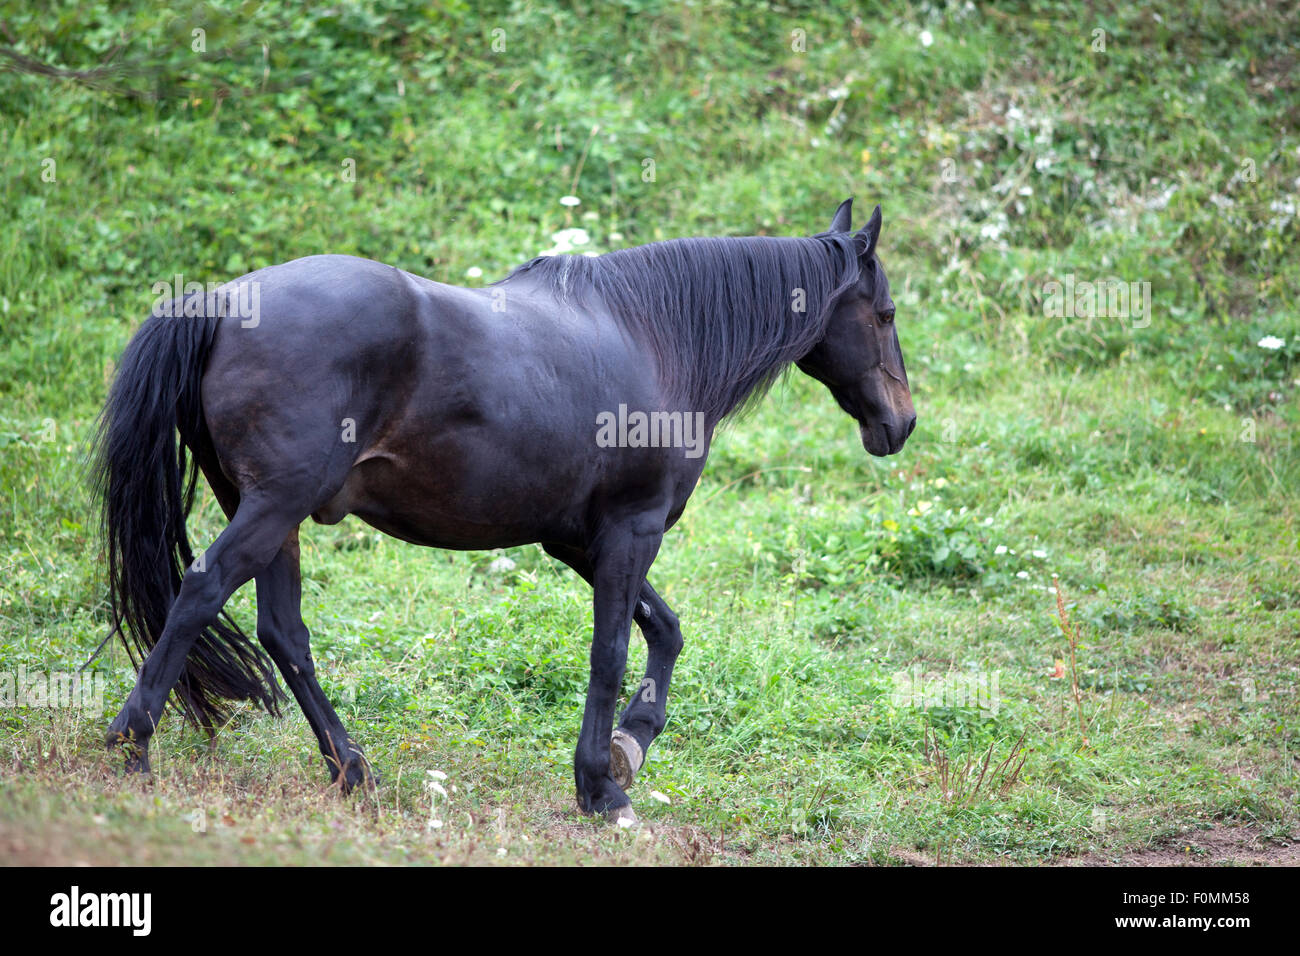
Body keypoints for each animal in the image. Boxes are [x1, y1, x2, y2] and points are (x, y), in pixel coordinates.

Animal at [94, 196, 915, 822]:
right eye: (884, 314)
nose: (901, 424)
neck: (652, 337)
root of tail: (222, 302)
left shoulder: (578, 539)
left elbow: (666, 631)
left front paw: (630, 746)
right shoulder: (631, 531)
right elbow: (611, 652)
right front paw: (600, 788)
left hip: (275, 517)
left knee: (283, 633)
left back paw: (352, 769)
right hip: (271, 508)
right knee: (203, 591)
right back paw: (132, 747)